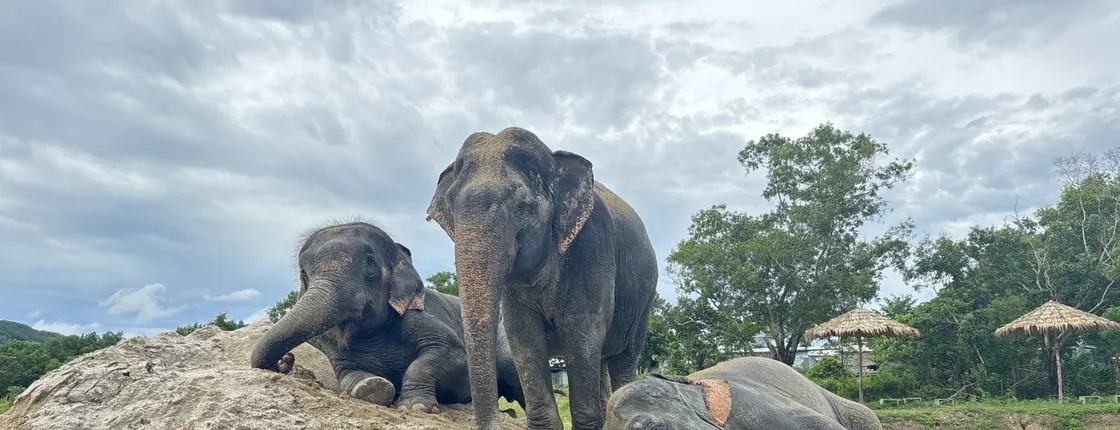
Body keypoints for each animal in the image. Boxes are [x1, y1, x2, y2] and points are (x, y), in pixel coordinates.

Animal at [249, 221, 527, 413]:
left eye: (370, 264)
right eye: (304, 274)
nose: (287, 359)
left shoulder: (416, 316)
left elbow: (451, 354)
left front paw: (416, 408)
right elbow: (345, 373)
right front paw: (373, 387)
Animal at [425, 127, 660, 429]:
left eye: (522, 206)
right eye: (451, 205)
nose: (499, 418)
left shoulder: (593, 250)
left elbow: (582, 333)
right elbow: (523, 336)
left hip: (643, 300)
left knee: (624, 360)